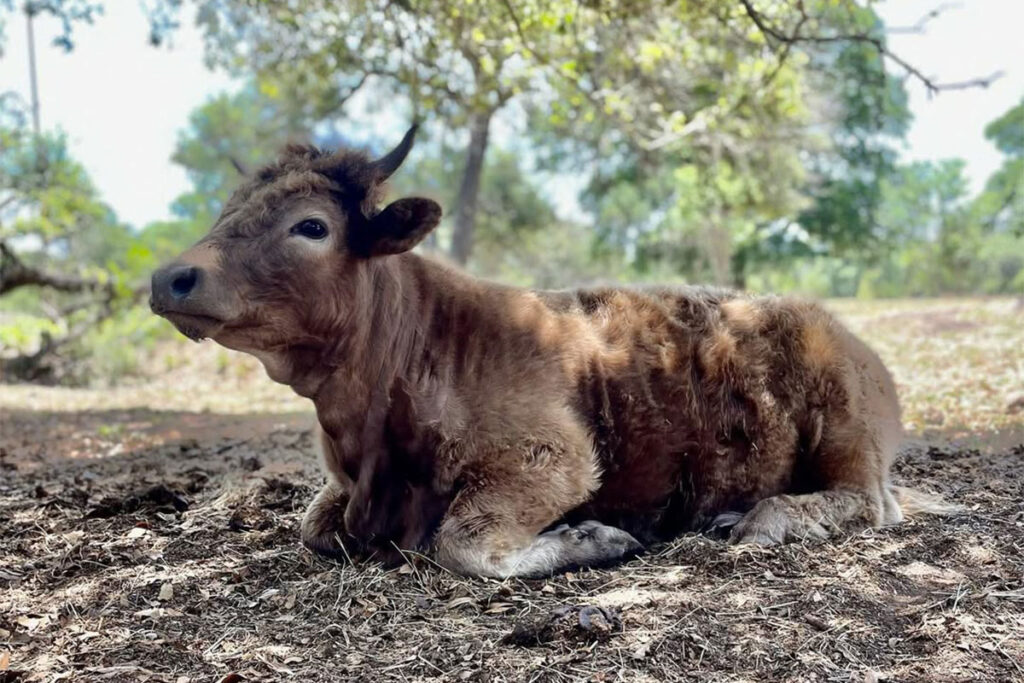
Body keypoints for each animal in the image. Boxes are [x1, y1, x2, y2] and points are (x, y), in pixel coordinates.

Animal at [150, 126, 950, 578]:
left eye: (311, 226)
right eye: (227, 212)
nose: (169, 277)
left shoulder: (552, 459)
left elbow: (462, 542)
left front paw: (592, 537)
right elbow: (314, 527)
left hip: (846, 426)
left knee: (866, 502)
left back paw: (760, 518)